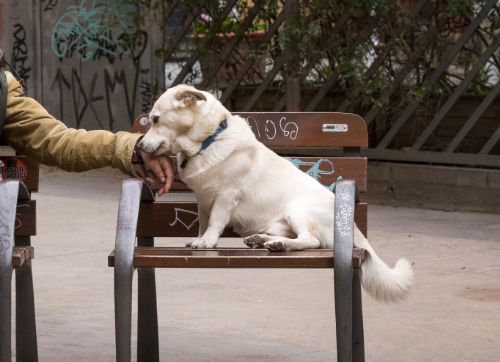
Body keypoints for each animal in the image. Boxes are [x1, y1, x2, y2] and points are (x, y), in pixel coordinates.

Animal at [142, 85, 414, 302]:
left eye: (155, 119)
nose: (141, 146)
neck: (208, 141)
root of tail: (353, 224)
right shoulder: (203, 198)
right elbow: (203, 222)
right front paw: (198, 239)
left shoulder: (225, 196)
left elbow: (215, 223)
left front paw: (207, 242)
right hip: (277, 223)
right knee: (293, 237)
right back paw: (263, 241)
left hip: (299, 210)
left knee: (311, 241)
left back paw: (280, 246)